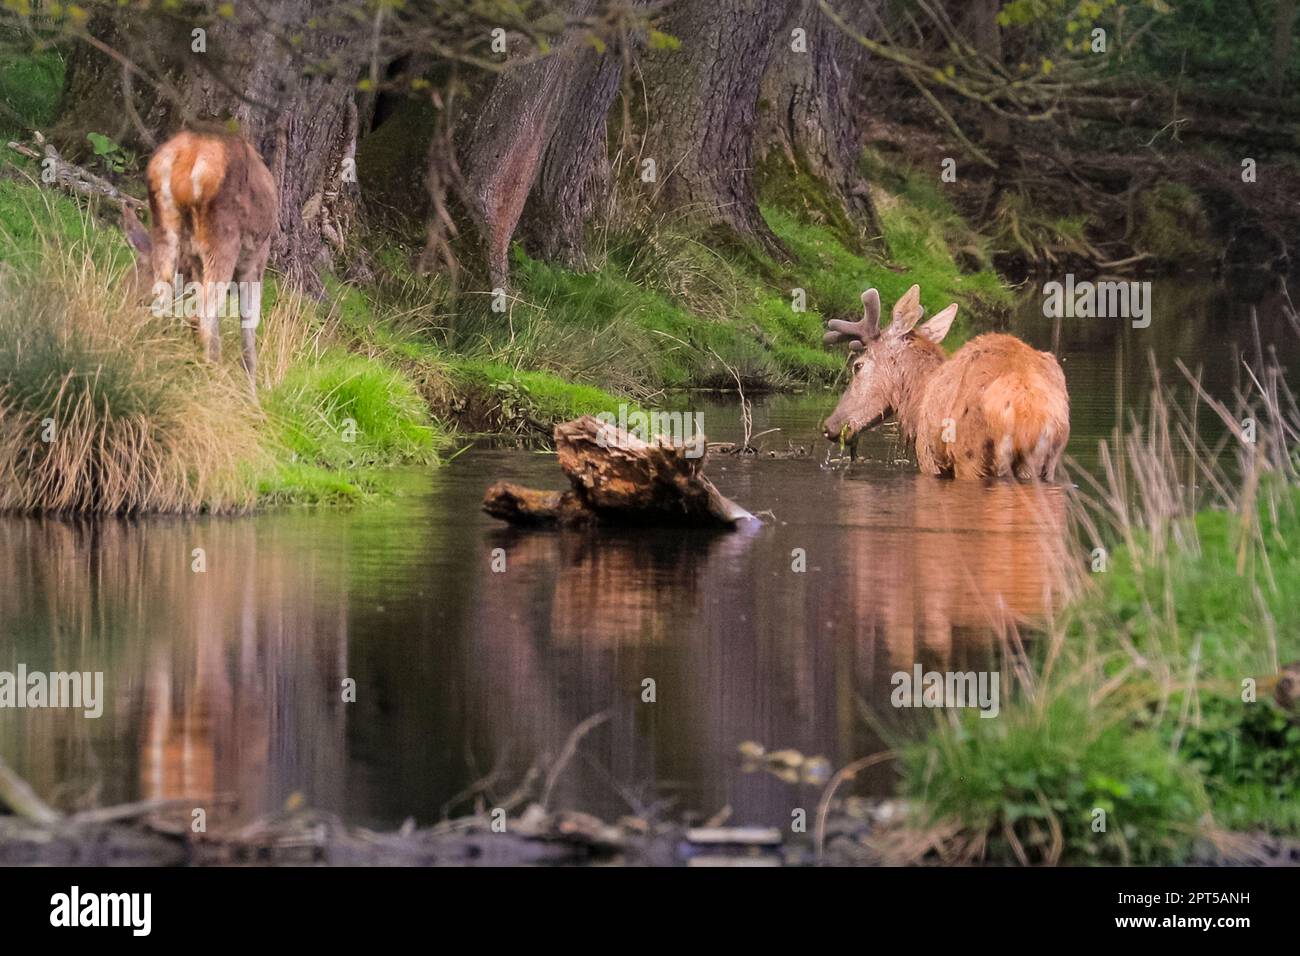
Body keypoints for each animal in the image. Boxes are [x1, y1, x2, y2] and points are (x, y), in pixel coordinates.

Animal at [122, 130, 276, 392]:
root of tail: (187, 157)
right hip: (223, 237)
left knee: (169, 300)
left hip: (166, 227)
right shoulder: (256, 261)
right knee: (203, 317)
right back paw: (215, 379)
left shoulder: (196, 262)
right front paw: (251, 394)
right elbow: (249, 328)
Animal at [826, 282, 1071, 478]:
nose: (830, 426)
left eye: (857, 366)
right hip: (1046, 461)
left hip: (971, 455)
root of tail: (1027, 409)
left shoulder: (927, 455)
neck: (919, 395)